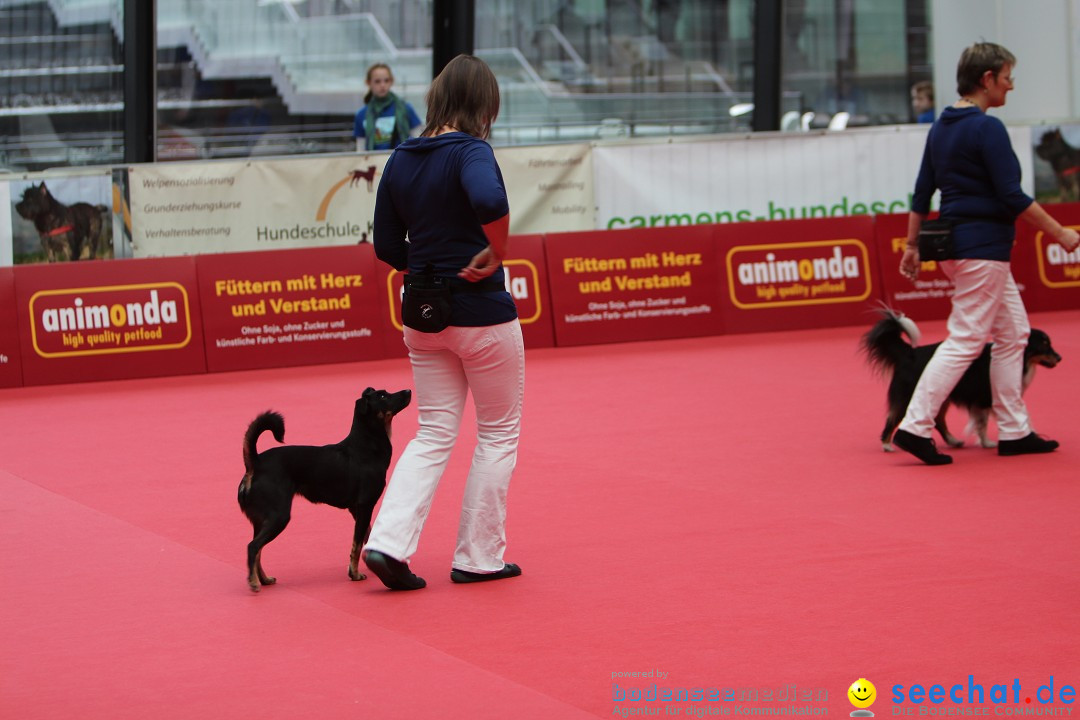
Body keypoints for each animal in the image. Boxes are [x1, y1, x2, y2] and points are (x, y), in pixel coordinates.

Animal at [238, 388, 410, 591]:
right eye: (383, 396)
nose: (408, 391)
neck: (366, 446)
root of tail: (255, 464)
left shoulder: (357, 510)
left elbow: (365, 538)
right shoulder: (365, 506)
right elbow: (357, 544)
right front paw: (355, 574)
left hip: (262, 520)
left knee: (259, 550)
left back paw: (264, 579)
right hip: (278, 516)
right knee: (253, 547)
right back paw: (254, 582)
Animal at [859, 310, 1062, 451]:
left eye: (1049, 343)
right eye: (1044, 345)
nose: (1060, 358)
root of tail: (910, 353)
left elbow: (981, 422)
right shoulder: (985, 398)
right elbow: (983, 423)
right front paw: (988, 443)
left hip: (942, 395)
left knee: (938, 420)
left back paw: (953, 441)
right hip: (909, 396)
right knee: (893, 418)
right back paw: (887, 445)